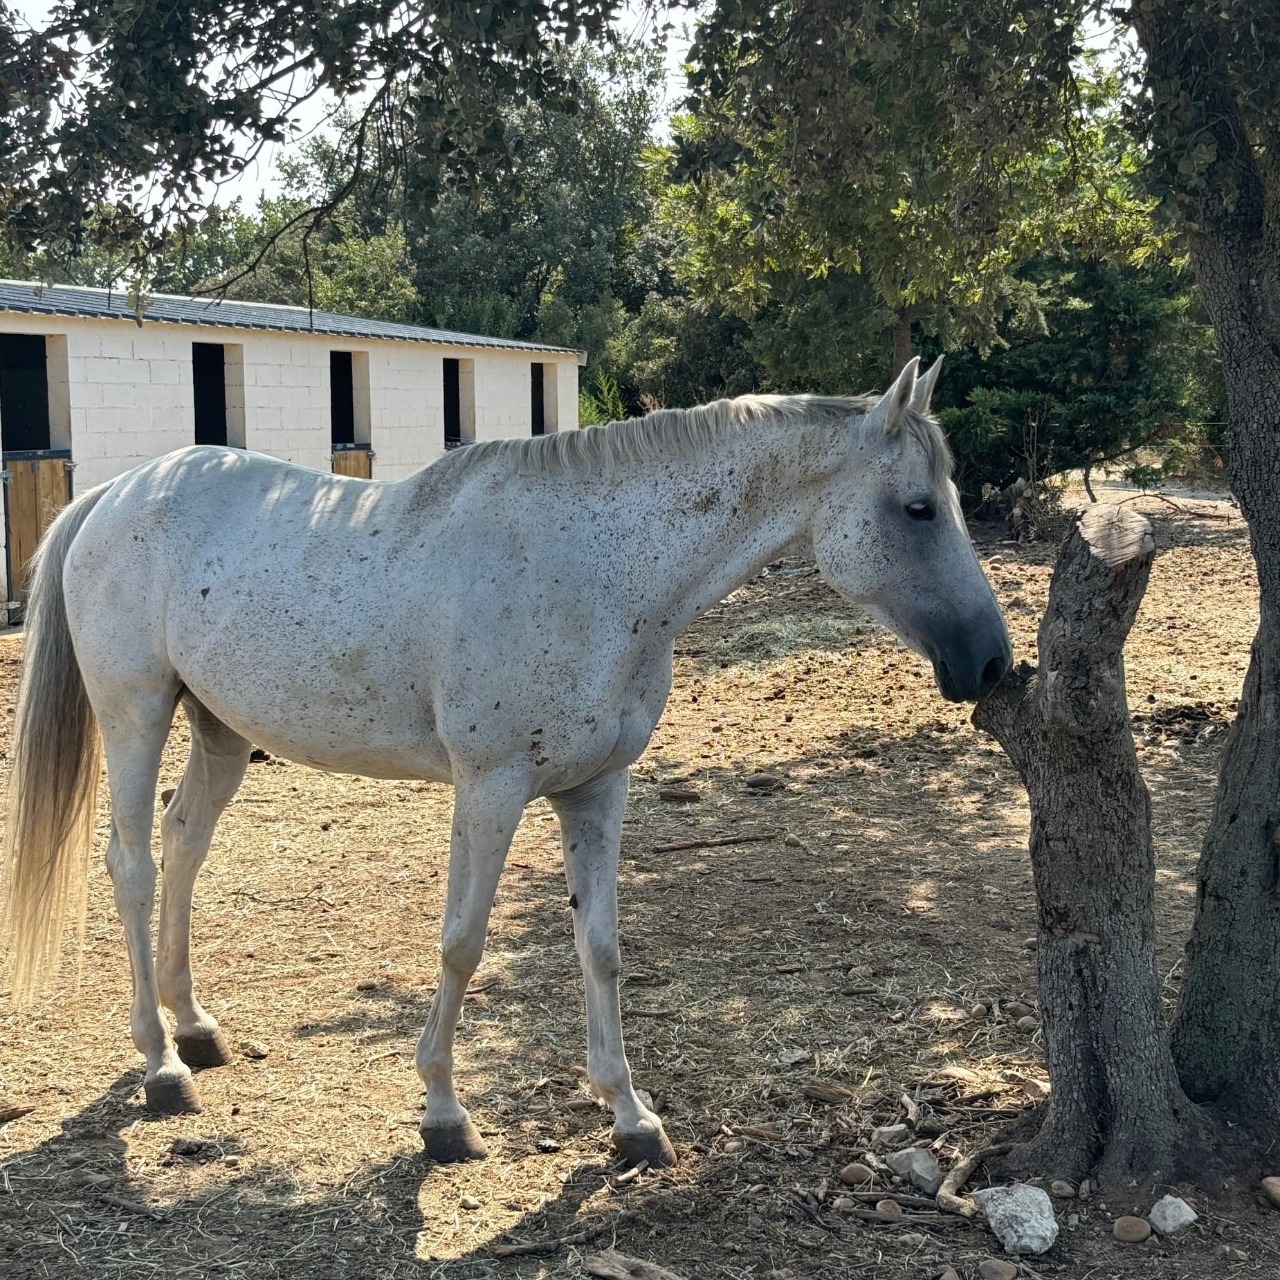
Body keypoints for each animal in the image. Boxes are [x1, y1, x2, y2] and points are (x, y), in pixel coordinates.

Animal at [2, 358, 1008, 1172]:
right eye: (919, 508)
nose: (992, 663)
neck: (596, 574)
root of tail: (115, 494)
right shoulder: (491, 790)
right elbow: (462, 943)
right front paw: (444, 1116)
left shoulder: (597, 791)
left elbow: (600, 947)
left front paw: (631, 1118)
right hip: (135, 713)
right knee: (132, 867)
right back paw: (161, 1066)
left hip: (217, 730)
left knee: (183, 846)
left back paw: (196, 1026)